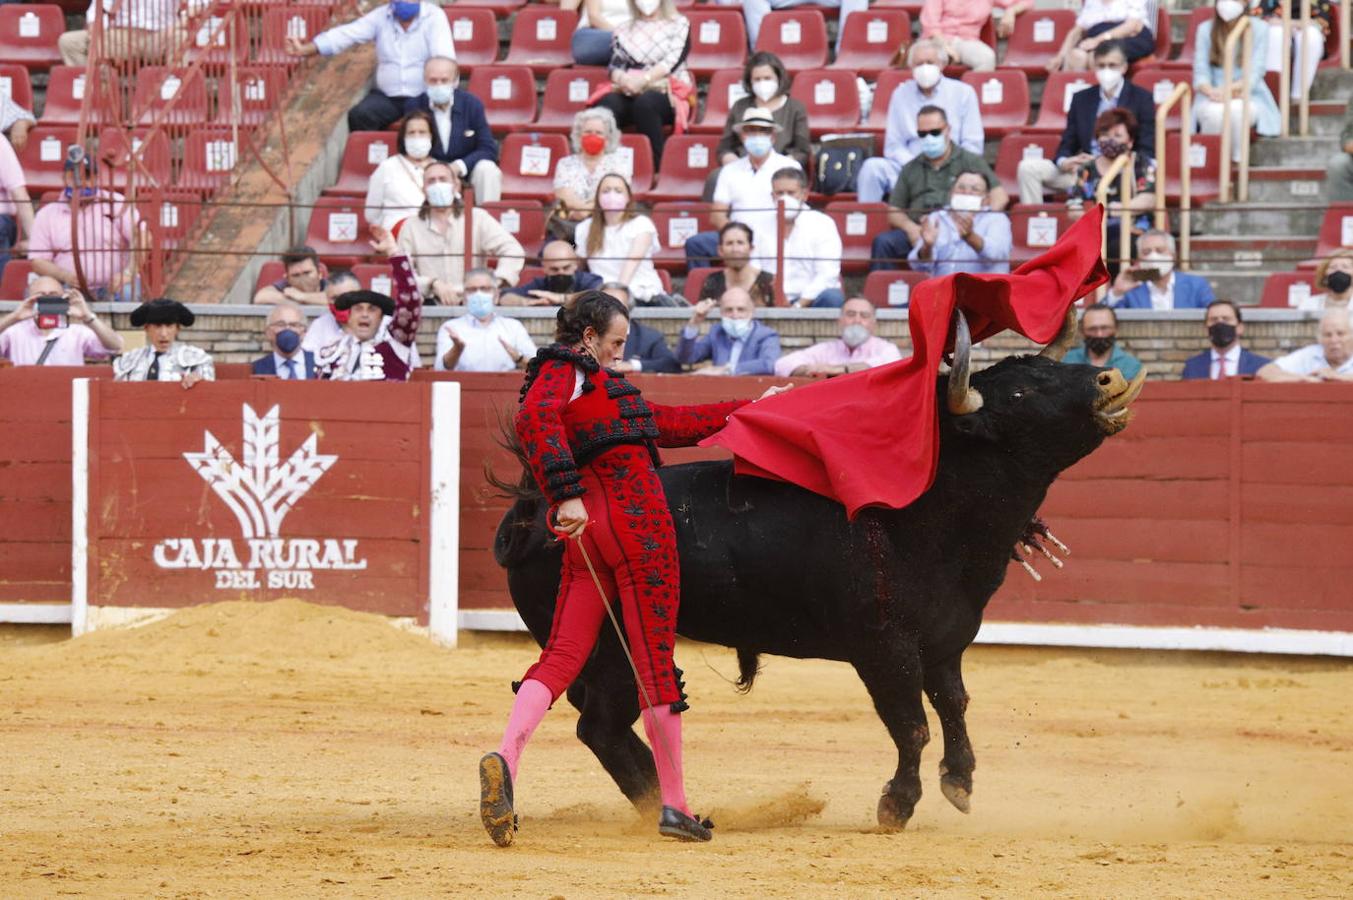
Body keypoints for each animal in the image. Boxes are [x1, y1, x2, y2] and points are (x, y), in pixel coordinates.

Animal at [487, 346, 1141, 822]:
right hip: (614, 645)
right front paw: (896, 804)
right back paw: (661, 803)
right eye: (1022, 393)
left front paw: (959, 782)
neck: (927, 510)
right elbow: (912, 724)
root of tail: (535, 511)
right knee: (600, 720)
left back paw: (661, 798)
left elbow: (953, 707)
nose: (1110, 376)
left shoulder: (944, 643)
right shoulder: (884, 650)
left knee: (598, 720)